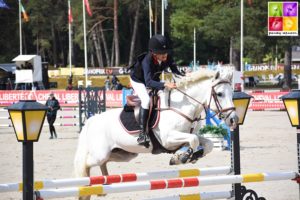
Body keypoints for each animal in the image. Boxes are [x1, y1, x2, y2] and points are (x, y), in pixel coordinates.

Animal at [74, 69, 238, 199]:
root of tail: (91, 121)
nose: (233, 120)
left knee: (104, 161)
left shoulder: (185, 136)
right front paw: (183, 157)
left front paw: (187, 156)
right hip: (100, 153)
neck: (183, 106)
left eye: (232, 93)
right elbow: (193, 140)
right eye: (219, 94)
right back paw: (87, 186)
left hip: (124, 154)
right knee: (86, 164)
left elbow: (206, 143)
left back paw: (104, 183)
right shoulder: (168, 139)